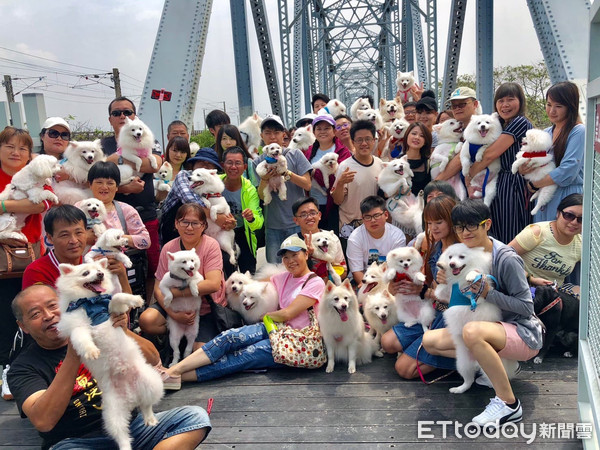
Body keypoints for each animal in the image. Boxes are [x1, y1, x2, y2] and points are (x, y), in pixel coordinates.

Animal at [56, 256, 163, 450]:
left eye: (100, 270)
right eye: (86, 273)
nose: (100, 274)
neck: (89, 302)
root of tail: (131, 398)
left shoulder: (112, 310)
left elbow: (117, 297)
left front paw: (136, 300)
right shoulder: (76, 324)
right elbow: (82, 339)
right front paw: (91, 351)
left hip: (151, 382)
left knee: (146, 405)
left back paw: (150, 418)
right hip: (113, 412)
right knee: (121, 433)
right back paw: (126, 445)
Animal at [434, 243, 504, 394]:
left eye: (462, 257)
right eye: (450, 257)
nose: (451, 264)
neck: (459, 279)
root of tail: (476, 362)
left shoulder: (480, 296)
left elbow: (477, 273)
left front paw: (472, 275)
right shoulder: (445, 293)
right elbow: (442, 288)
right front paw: (442, 266)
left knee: (495, 379)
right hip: (462, 364)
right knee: (469, 380)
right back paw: (459, 389)